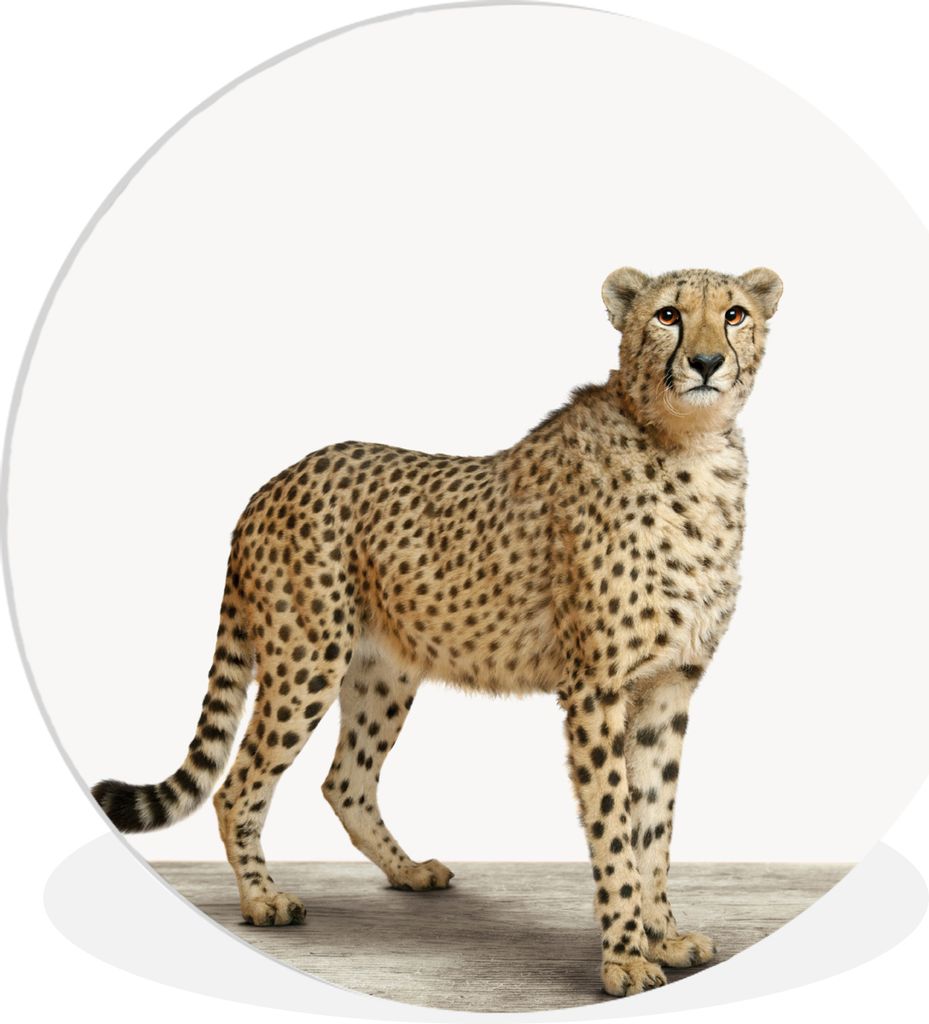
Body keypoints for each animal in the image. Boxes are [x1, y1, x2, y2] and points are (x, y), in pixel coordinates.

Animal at [93, 264, 783, 998]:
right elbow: (614, 828)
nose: (705, 362)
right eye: (667, 315)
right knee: (238, 783)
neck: (689, 447)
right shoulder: (595, 690)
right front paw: (624, 957)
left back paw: (408, 872)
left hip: (382, 672)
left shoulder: (668, 686)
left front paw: (664, 935)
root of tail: (271, 485)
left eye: (734, 314)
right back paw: (262, 901)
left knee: (345, 781)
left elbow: (654, 822)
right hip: (307, 659)